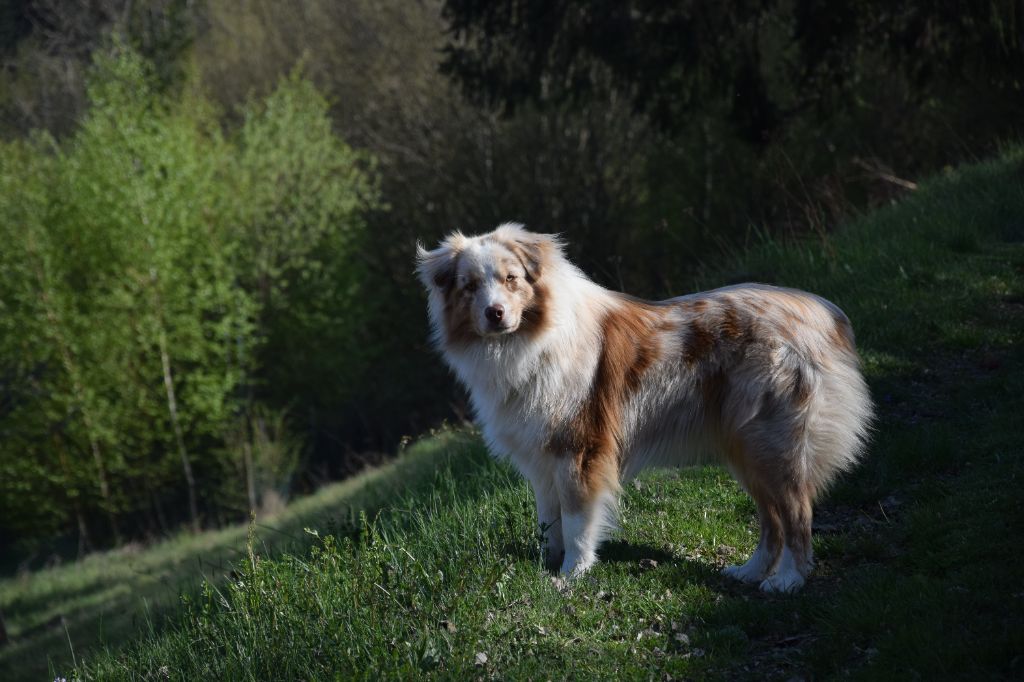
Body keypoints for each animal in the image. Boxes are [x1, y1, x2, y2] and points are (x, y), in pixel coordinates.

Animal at [415, 223, 872, 589]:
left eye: (511, 279)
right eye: (470, 286)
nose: (495, 313)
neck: (529, 341)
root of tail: (820, 311)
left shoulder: (579, 451)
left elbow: (577, 520)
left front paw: (572, 574)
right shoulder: (542, 461)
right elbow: (550, 521)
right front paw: (547, 566)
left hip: (772, 446)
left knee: (797, 513)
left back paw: (788, 580)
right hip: (745, 449)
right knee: (771, 520)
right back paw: (750, 572)